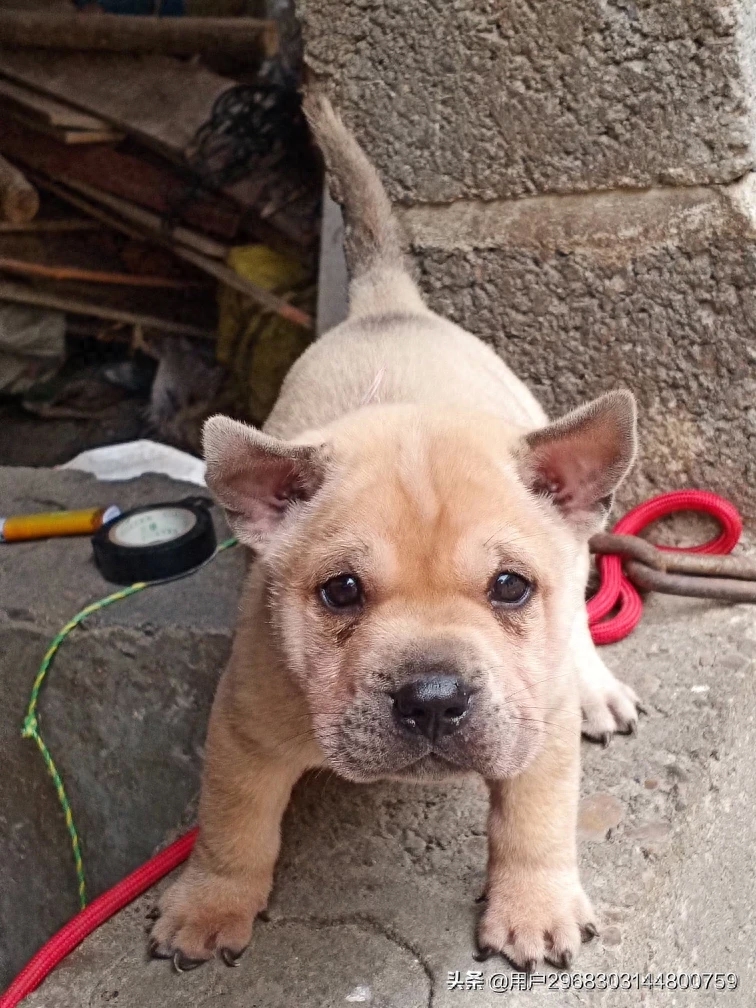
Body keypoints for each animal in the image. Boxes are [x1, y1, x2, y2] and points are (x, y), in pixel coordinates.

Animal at [151, 94, 641, 975]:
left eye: (511, 587)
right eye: (340, 593)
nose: (434, 699)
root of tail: (388, 305)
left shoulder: (538, 729)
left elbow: (536, 819)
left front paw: (533, 905)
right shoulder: (242, 728)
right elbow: (233, 824)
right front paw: (210, 904)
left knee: (581, 622)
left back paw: (595, 685)